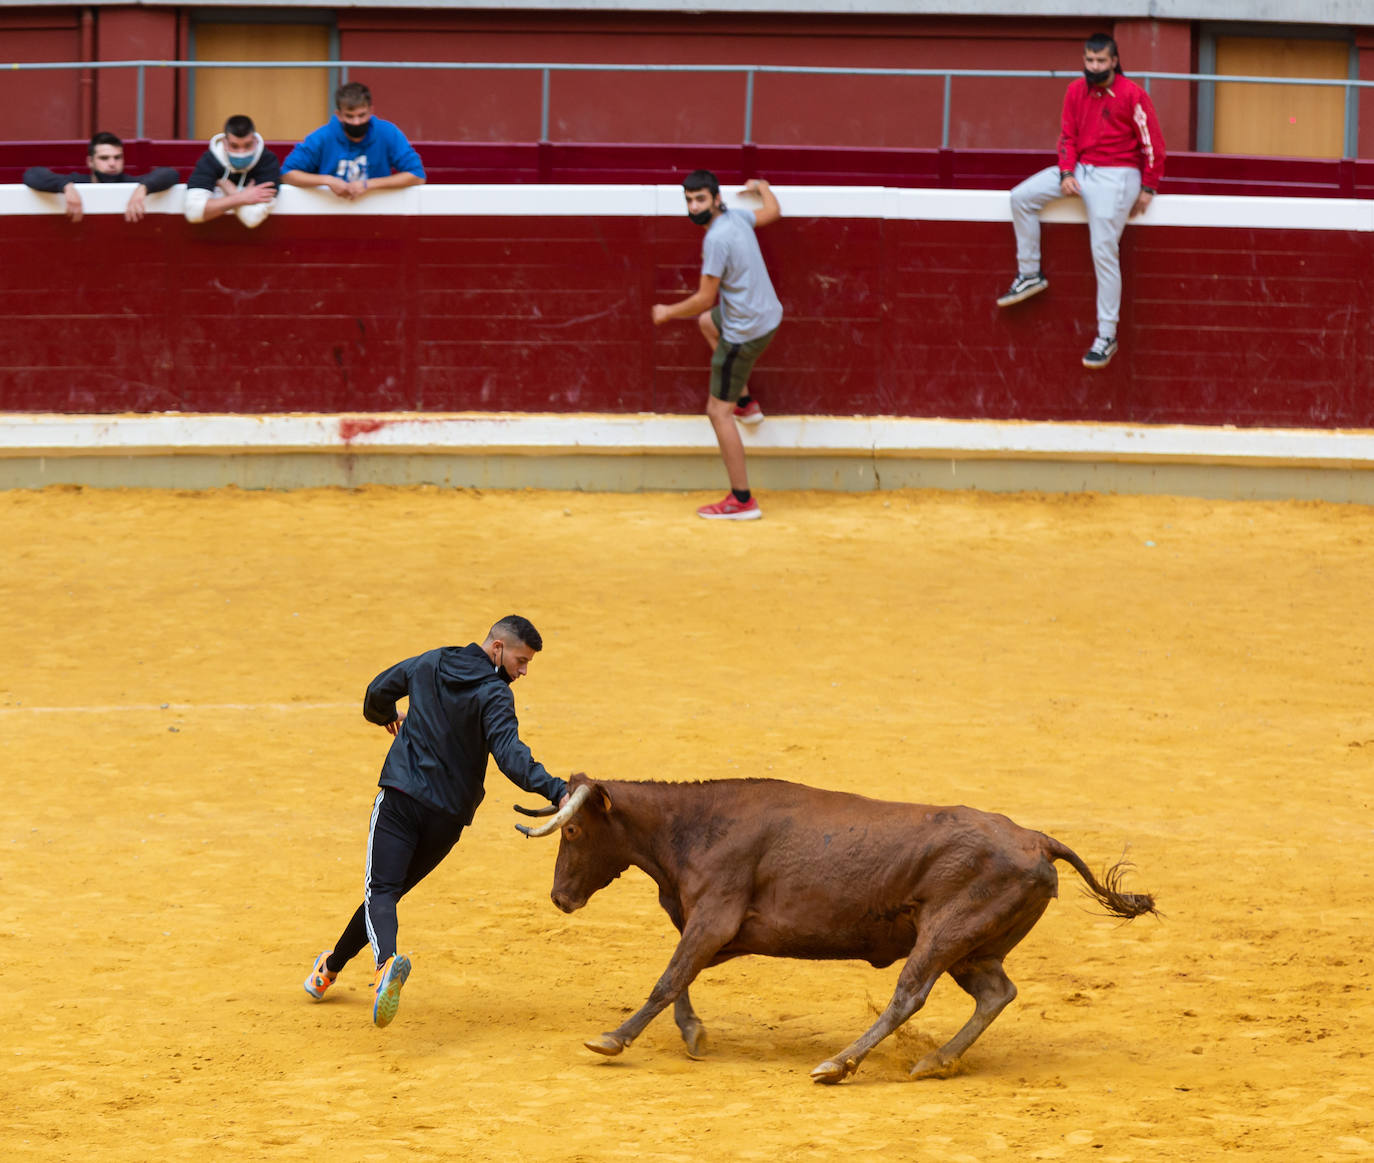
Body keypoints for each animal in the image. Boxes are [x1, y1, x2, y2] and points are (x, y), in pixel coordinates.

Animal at [516, 775, 1159, 1083]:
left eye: (572, 831)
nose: (559, 897)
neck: (693, 826)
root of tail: (1037, 839)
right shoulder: (710, 931)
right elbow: (681, 979)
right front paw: (694, 1034)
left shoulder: (713, 919)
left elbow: (667, 979)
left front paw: (612, 1039)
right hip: (973, 949)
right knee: (997, 993)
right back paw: (934, 1062)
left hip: (944, 934)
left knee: (909, 996)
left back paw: (839, 1065)